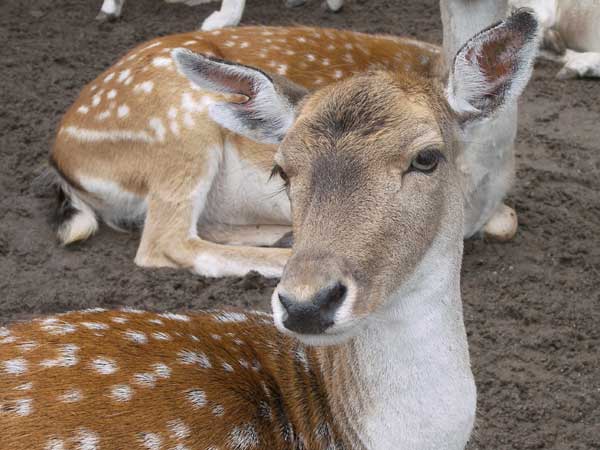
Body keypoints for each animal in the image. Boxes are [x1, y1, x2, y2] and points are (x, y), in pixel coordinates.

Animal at [3, 11, 540, 450]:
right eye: (281, 169)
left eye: (427, 157)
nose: (306, 304)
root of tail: (61, 155)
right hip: (181, 125)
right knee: (163, 239)